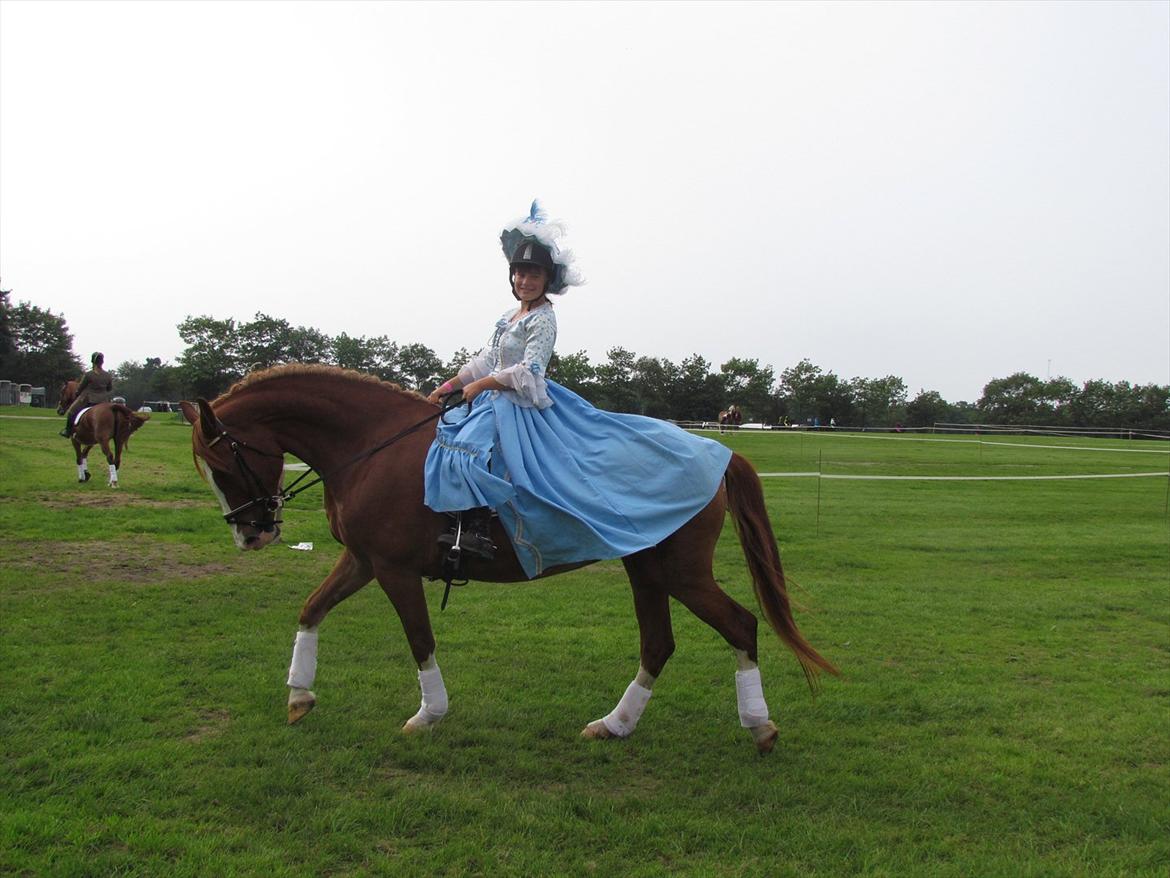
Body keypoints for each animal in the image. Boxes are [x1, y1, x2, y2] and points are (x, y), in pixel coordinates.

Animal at [177, 365, 837, 758]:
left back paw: (759, 726)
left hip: (680, 573)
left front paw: (428, 715)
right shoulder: (362, 560)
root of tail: (716, 451)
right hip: (645, 569)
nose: (252, 536)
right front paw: (299, 696)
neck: (370, 447)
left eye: (224, 462)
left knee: (740, 625)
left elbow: (419, 640)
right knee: (658, 644)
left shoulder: (393, 570)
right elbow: (311, 610)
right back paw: (615, 725)